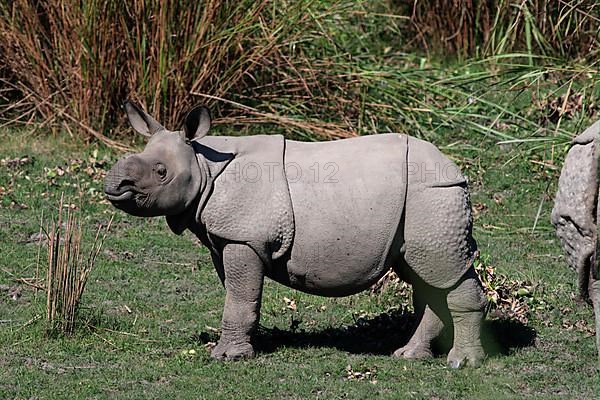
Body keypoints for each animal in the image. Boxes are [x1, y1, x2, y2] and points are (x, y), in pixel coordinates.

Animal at [104, 103, 488, 368]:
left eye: (161, 172)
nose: (112, 185)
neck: (203, 164)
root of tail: (454, 168)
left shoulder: (243, 238)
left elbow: (240, 299)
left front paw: (228, 357)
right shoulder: (226, 238)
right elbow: (239, 296)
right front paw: (243, 347)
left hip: (433, 194)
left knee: (443, 269)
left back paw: (461, 363)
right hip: (422, 199)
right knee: (425, 274)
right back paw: (408, 356)